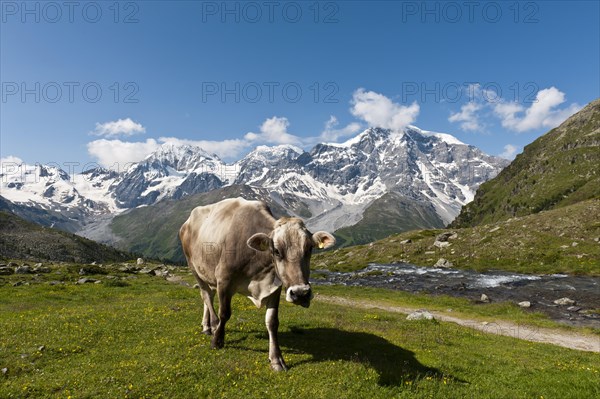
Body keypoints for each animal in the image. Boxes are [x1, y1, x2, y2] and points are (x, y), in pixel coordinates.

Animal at [178, 198, 338, 372]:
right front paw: (217, 341)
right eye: (276, 251)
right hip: (194, 268)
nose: (301, 293)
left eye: (309, 249)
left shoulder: (275, 287)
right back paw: (213, 326)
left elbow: (272, 322)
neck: (259, 273)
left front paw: (276, 359)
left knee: (208, 297)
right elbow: (225, 313)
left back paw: (206, 326)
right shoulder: (223, 280)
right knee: (206, 296)